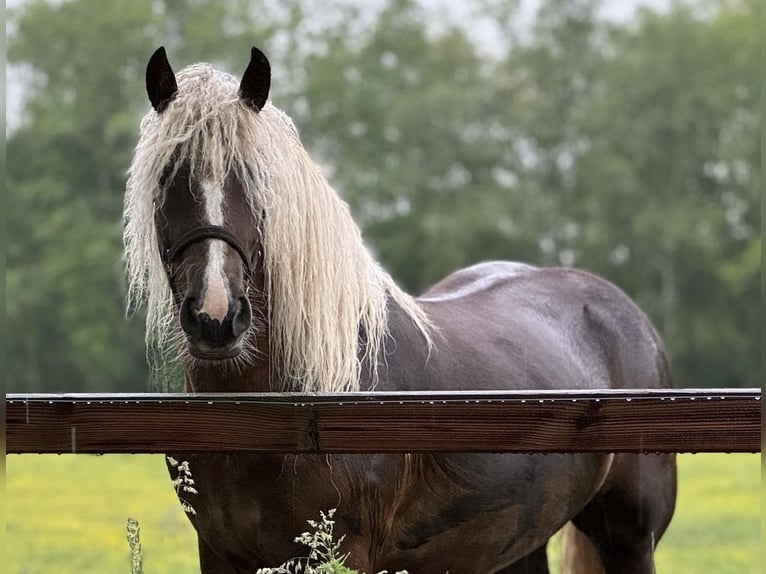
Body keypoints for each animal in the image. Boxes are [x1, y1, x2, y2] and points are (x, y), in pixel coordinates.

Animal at [124, 47, 680, 572]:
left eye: (257, 180)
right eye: (167, 178)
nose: (217, 318)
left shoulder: (344, 552)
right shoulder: (219, 553)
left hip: (630, 538)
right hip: (518, 544)